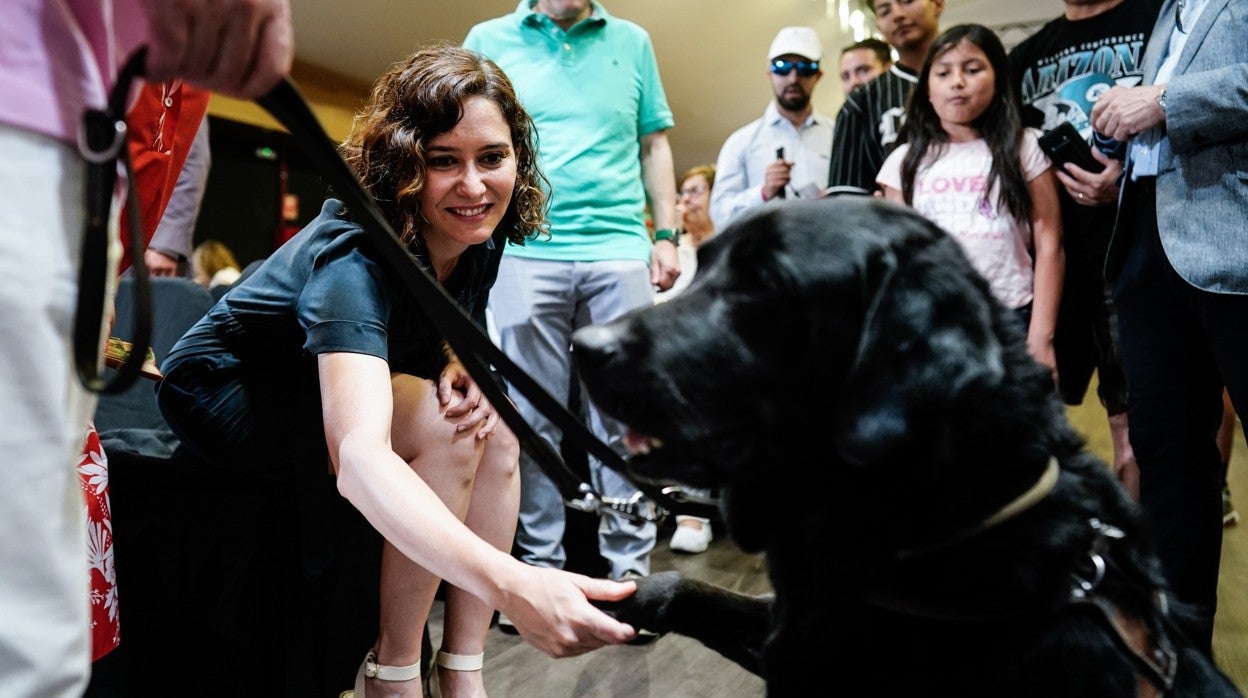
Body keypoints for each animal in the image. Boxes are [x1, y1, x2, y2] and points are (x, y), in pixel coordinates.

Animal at [571, 199, 1238, 694]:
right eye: (698, 269)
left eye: (760, 288)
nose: (584, 345)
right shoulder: (795, 630)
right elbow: (682, 589)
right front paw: (606, 598)